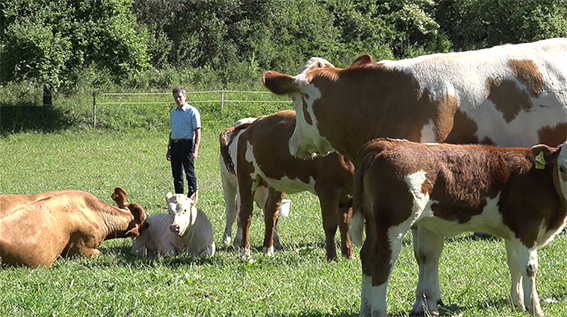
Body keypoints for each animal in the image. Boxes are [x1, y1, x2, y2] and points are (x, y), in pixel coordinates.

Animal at [219, 110, 356, 260]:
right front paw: (331, 257)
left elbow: (345, 224)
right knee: (243, 213)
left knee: (270, 213)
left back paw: (268, 249)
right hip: (245, 177)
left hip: (274, 183)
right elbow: (330, 225)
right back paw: (244, 250)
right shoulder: (328, 190)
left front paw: (348, 254)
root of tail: (252, 124)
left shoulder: (349, 194)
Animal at [352, 138, 567, 316]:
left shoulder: (513, 232)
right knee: (381, 260)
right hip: (393, 222)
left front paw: (518, 304)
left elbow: (514, 265)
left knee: (367, 255)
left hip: (374, 221)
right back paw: (378, 311)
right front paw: (535, 308)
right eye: (562, 168)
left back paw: (365, 309)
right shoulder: (527, 228)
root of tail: (388, 144)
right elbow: (529, 268)